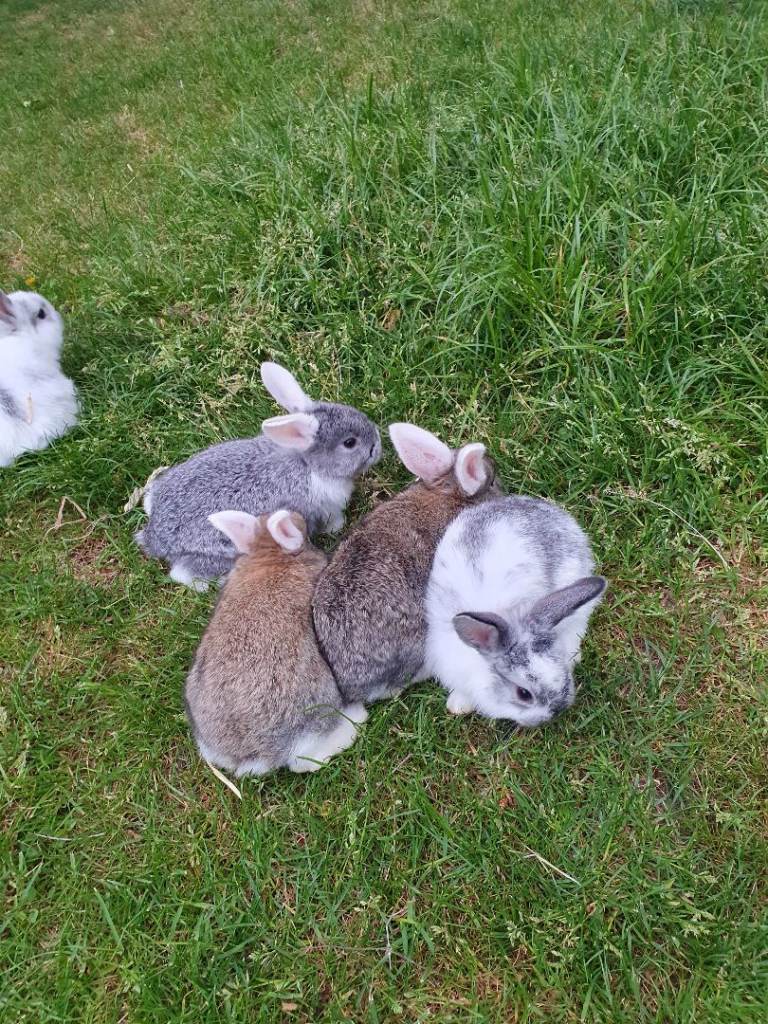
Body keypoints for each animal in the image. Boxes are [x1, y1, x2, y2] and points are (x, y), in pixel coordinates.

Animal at [135, 362, 381, 590]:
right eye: (349, 443)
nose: (377, 445)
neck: (307, 464)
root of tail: (154, 537)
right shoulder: (323, 508)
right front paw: (338, 527)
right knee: (184, 574)